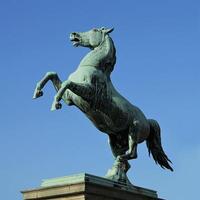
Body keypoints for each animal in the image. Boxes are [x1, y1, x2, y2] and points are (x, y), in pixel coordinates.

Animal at [32, 27, 172, 184]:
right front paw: (37, 92)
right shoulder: (70, 98)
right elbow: (52, 74)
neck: (92, 67)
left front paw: (55, 104)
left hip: (134, 132)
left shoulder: (87, 92)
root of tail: (148, 121)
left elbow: (66, 83)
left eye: (94, 29)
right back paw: (116, 174)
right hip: (114, 141)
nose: (73, 34)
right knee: (127, 161)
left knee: (132, 153)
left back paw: (118, 169)